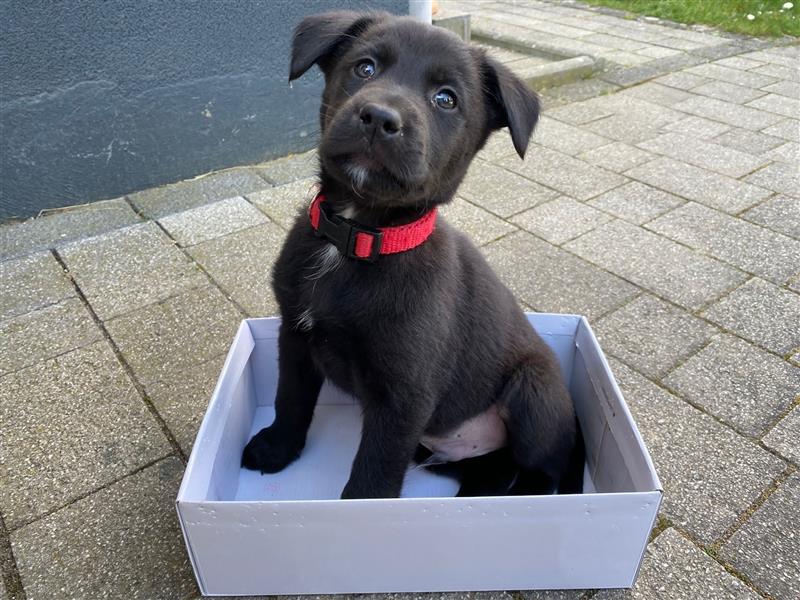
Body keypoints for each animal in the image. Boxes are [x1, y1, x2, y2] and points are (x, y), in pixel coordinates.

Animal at [241, 11, 584, 496]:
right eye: (365, 68)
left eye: (446, 99)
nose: (378, 118)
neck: (358, 237)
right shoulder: (294, 337)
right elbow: (290, 399)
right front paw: (276, 449)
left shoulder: (403, 396)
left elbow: (373, 477)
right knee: (492, 470)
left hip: (535, 393)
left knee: (540, 471)